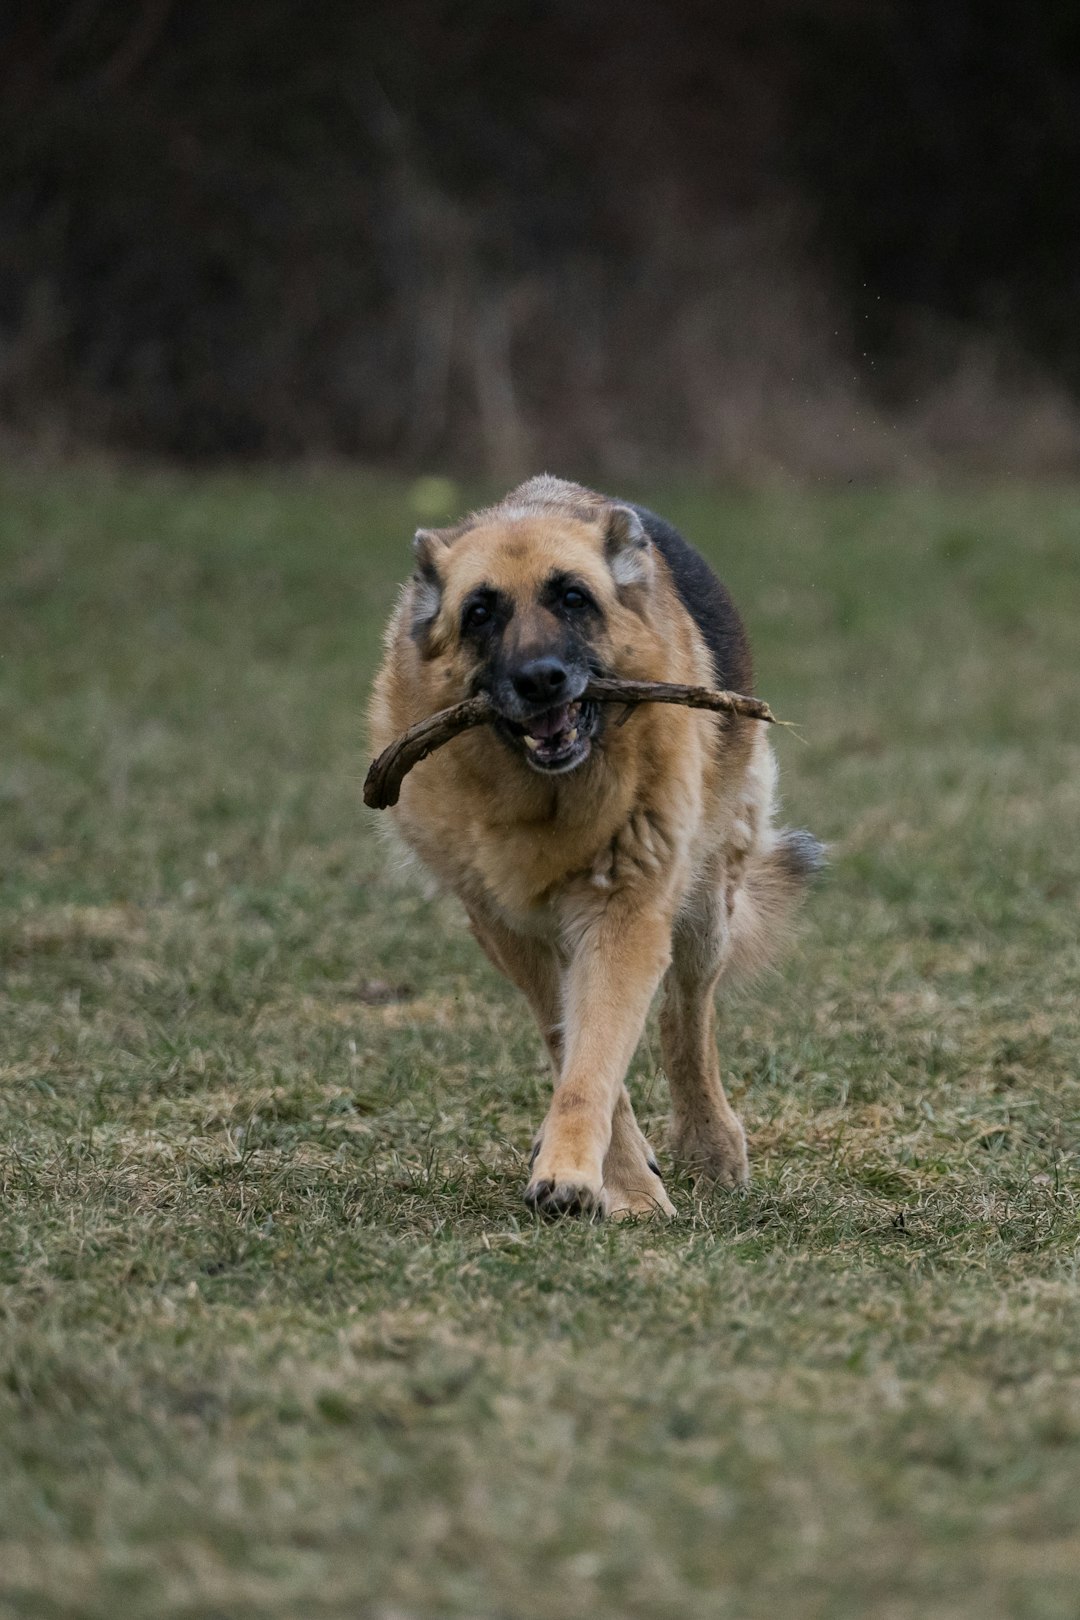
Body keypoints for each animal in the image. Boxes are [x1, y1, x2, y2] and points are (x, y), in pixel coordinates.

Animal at [372, 473, 819, 1218]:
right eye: (480, 613)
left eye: (573, 598)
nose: (541, 679)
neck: (548, 797)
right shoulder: (508, 930)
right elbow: (571, 1046)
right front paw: (622, 1179)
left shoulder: (623, 915)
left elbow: (597, 1061)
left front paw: (596, 1179)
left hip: (705, 907)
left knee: (686, 1019)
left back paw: (709, 1142)